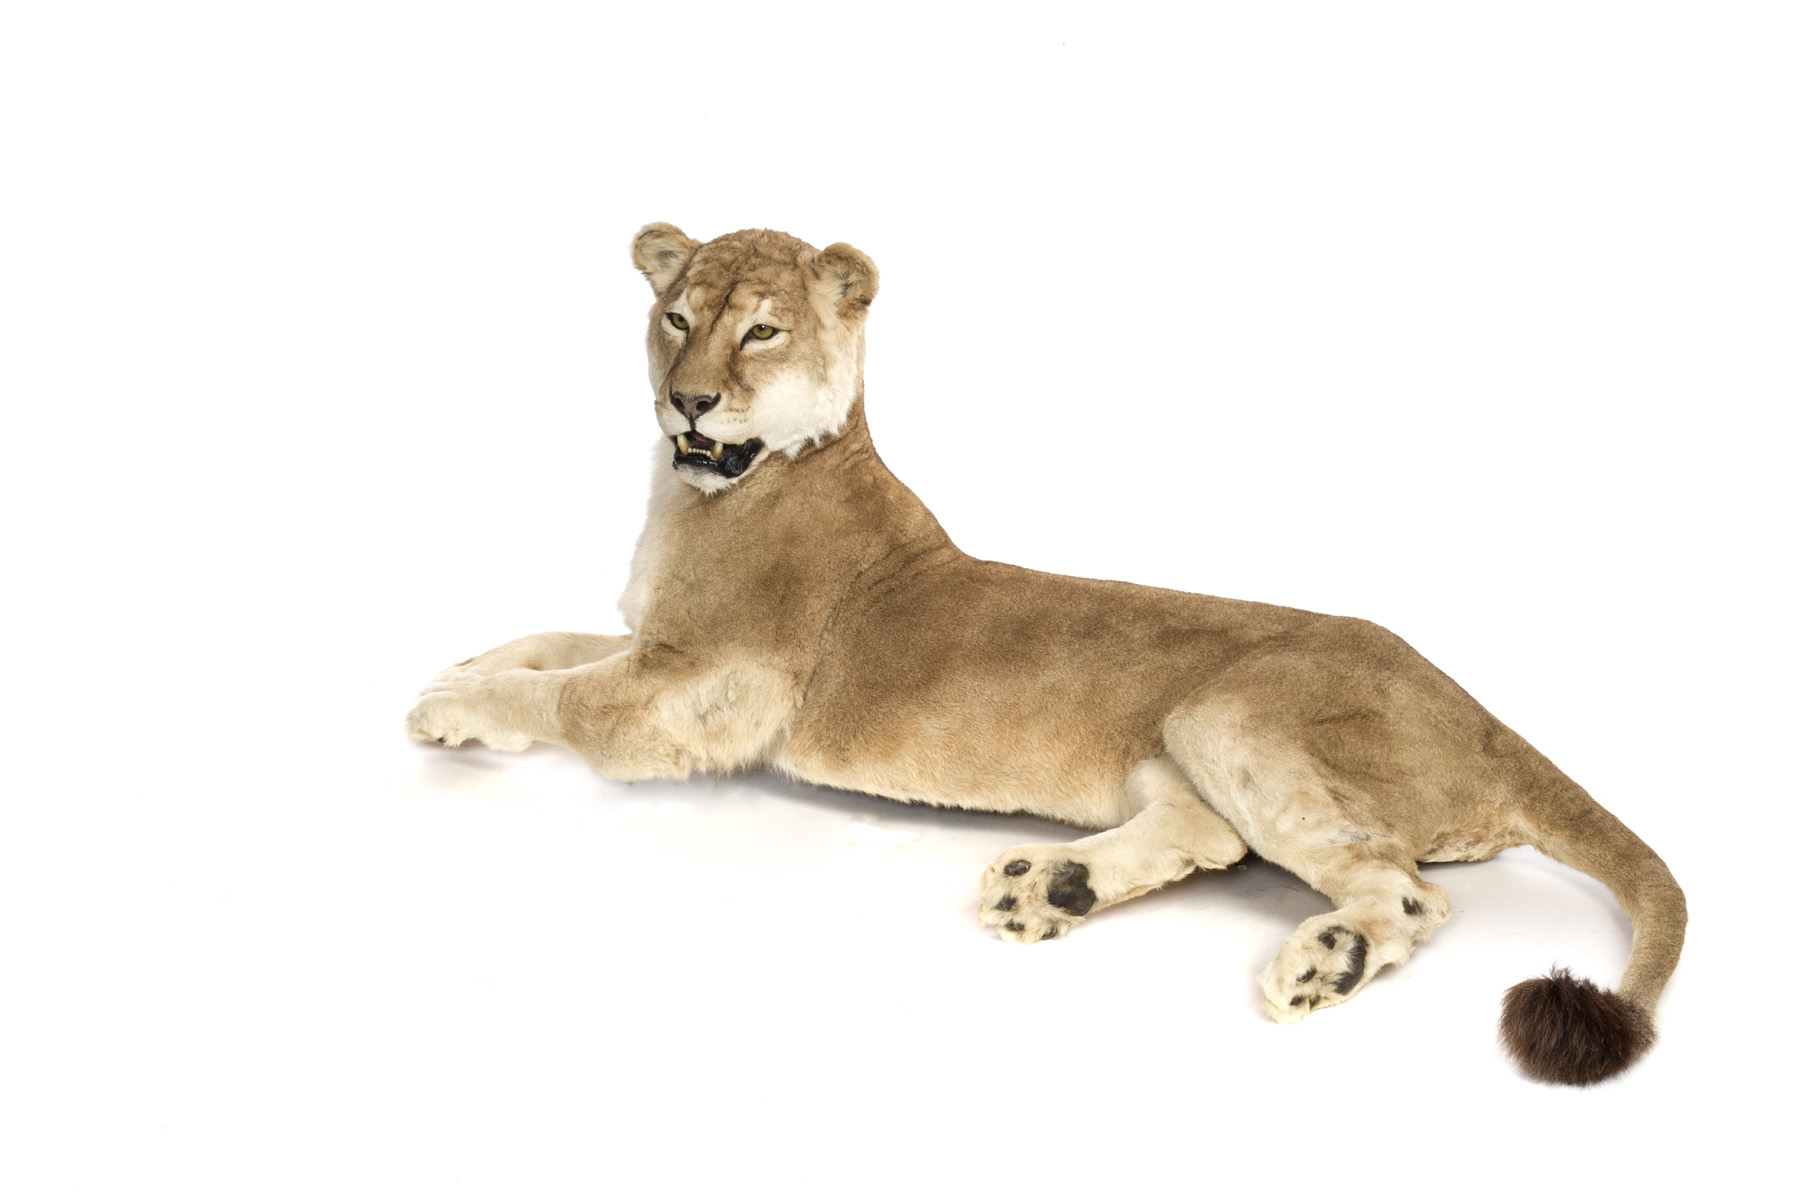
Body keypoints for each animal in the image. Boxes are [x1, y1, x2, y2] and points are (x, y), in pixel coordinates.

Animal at [406, 224, 1685, 1085]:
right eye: (678, 316)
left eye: (761, 327)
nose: (689, 402)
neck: (706, 490)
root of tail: (1485, 714)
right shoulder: (655, 642)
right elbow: (552, 639)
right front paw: (460, 666)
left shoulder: (707, 688)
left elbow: (568, 695)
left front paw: (447, 707)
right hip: (1185, 749)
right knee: (1207, 840)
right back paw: (1047, 888)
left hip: (1235, 710)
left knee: (1404, 893)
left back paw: (1318, 959)